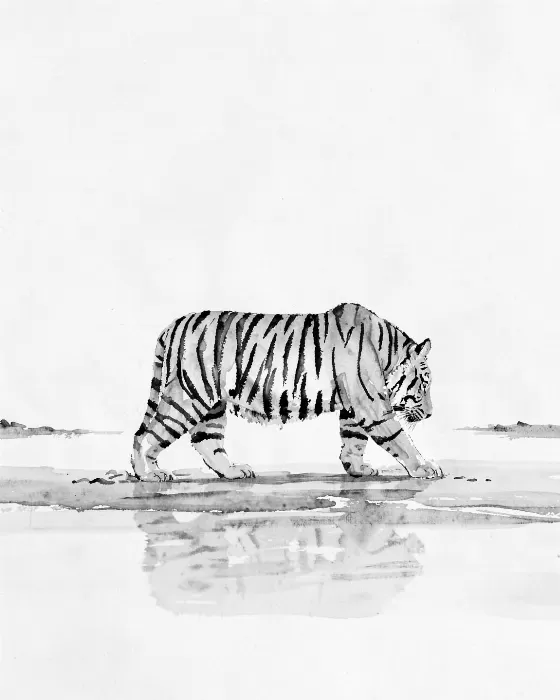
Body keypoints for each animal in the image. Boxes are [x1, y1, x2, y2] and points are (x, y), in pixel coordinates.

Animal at [130, 302, 442, 481]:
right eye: (424, 384)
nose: (430, 414)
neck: (387, 352)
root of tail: (174, 324)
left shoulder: (354, 404)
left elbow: (353, 440)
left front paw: (357, 469)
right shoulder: (371, 404)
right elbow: (399, 439)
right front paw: (425, 469)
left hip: (213, 404)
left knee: (206, 440)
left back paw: (234, 472)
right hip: (188, 396)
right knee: (148, 435)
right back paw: (149, 474)